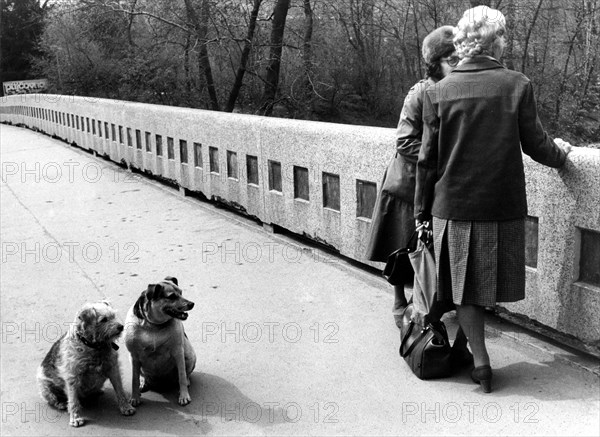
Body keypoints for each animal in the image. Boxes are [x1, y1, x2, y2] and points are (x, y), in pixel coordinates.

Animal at [123, 276, 196, 406]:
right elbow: (134, 380)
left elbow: (182, 376)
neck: (153, 325)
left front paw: (184, 396)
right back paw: (143, 381)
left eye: (181, 292)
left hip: (189, 355)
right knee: (141, 375)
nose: (191, 304)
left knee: (184, 374)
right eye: (171, 296)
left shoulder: (178, 352)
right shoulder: (134, 356)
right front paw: (135, 397)